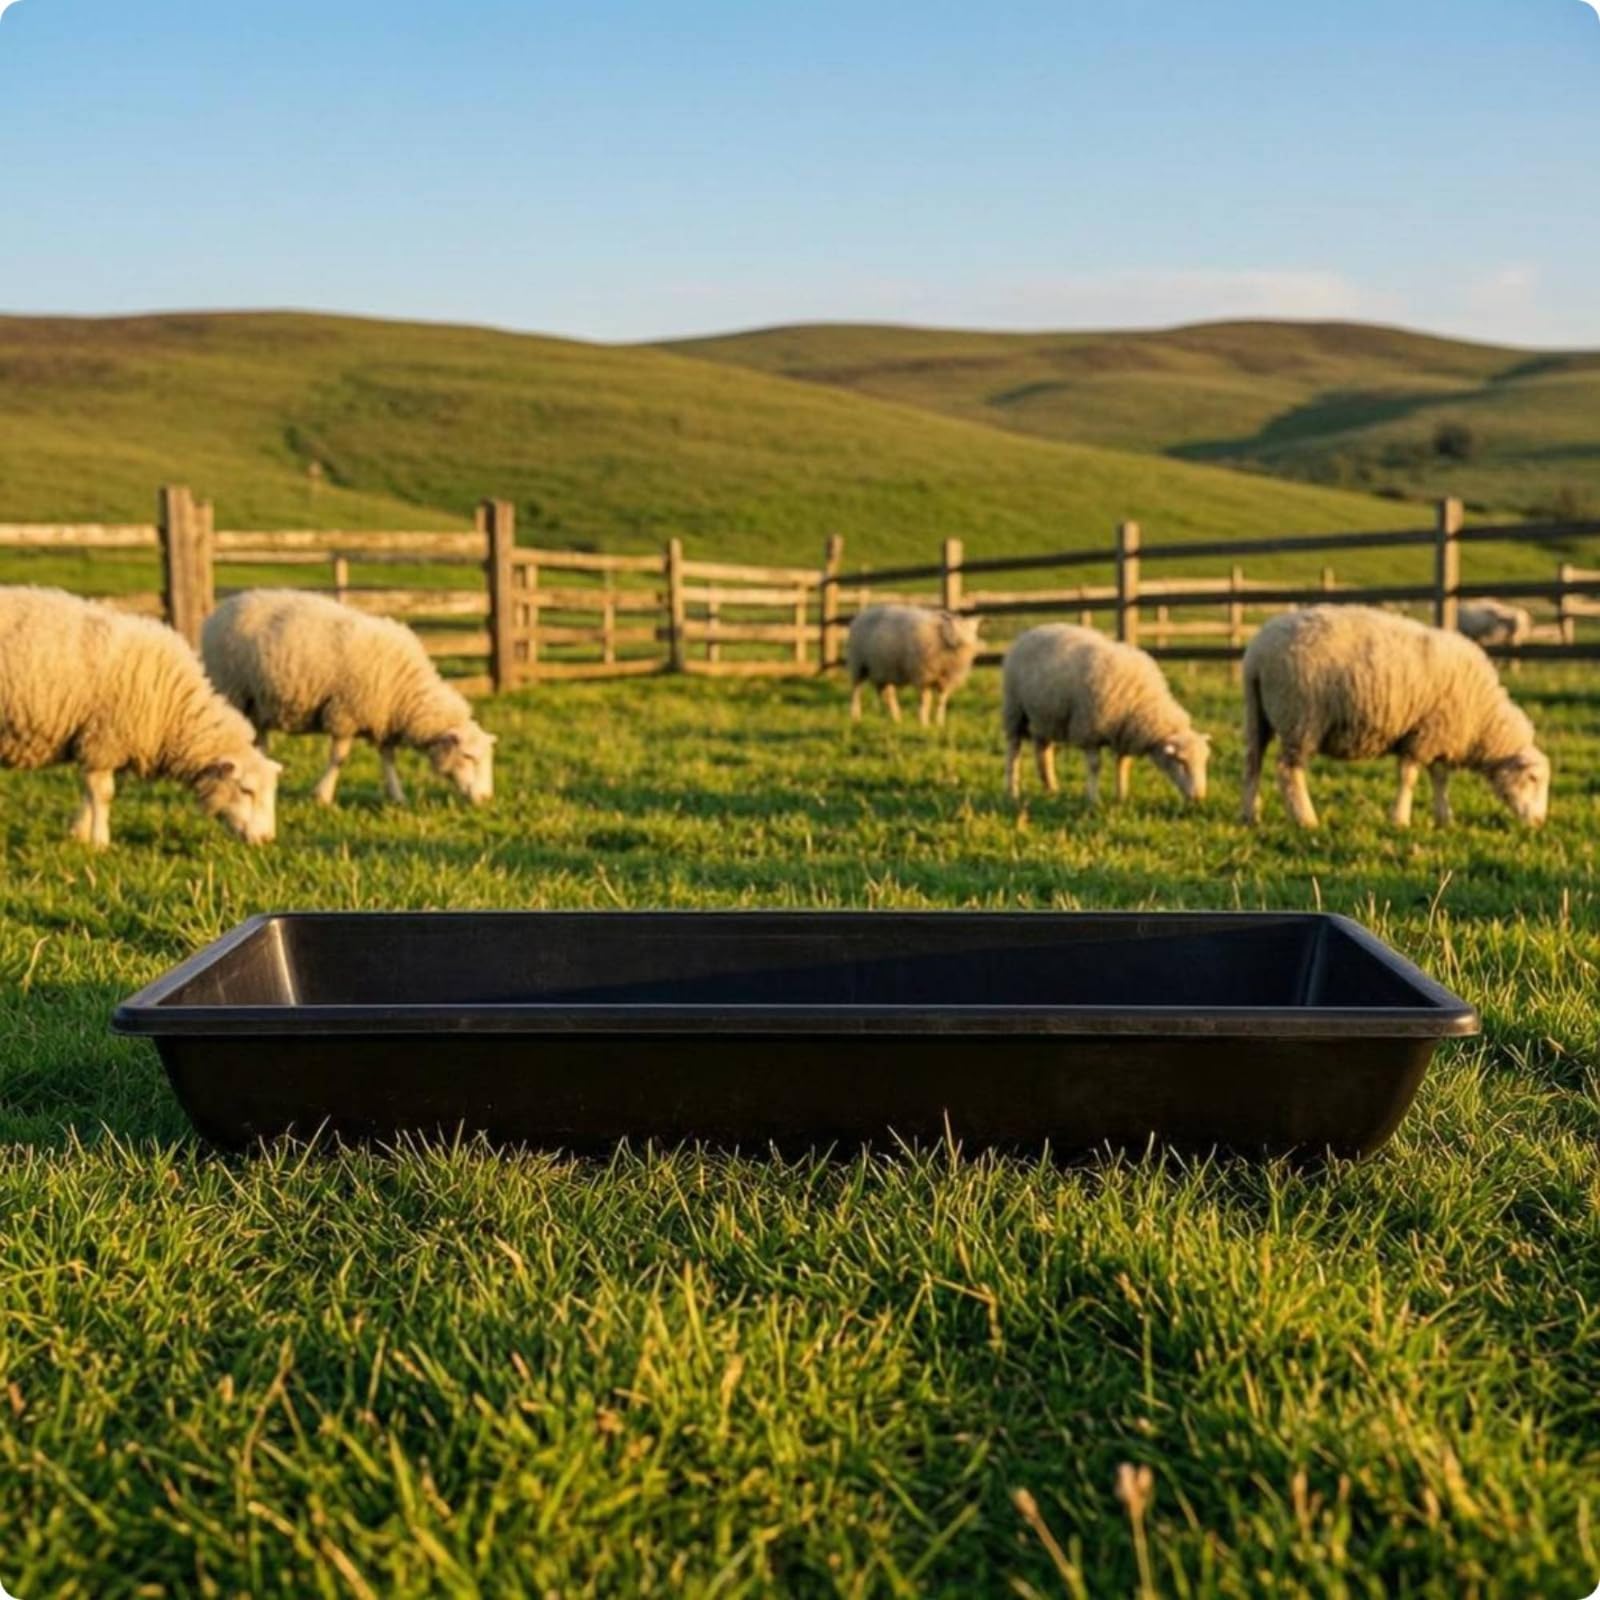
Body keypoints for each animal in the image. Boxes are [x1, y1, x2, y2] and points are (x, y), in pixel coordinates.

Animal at [0, 586, 280, 848]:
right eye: (246, 790)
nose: (266, 839)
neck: (171, 706)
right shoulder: (103, 739)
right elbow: (103, 794)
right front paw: (99, 842)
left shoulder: (101, 742)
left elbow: (93, 793)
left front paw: (79, 833)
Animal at [202, 589, 496, 808]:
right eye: (468, 756)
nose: (485, 799)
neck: (406, 690)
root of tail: (222, 607)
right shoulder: (346, 713)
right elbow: (339, 758)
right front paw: (322, 796)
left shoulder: (382, 718)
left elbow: (388, 758)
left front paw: (397, 796)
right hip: (233, 690)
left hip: (257, 703)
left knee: (259, 738)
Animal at [845, 604, 983, 726]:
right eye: (953, 628)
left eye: (971, 631)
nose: (962, 642)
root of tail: (861, 615)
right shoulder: (922, 677)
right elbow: (926, 701)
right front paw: (924, 723)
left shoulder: (945, 681)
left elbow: (941, 702)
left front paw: (939, 723)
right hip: (858, 664)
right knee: (856, 691)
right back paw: (855, 715)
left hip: (884, 669)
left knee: (888, 695)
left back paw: (894, 717)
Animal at [1001, 624, 1211, 805]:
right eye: (1181, 761)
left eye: (1204, 762)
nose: (1199, 797)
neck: (1141, 701)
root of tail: (1031, 632)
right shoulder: (1089, 732)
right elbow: (1095, 766)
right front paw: (1094, 800)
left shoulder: (1124, 733)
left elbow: (1123, 765)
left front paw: (1122, 797)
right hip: (1015, 709)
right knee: (1013, 749)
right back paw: (1013, 791)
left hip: (1046, 716)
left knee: (1043, 751)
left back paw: (1051, 789)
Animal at [1241, 605, 1549, 830]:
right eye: (1533, 779)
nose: (1538, 822)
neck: (1482, 719)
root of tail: (1258, 653)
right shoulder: (1422, 734)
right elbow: (1409, 778)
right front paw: (1400, 819)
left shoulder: (1439, 736)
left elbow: (1440, 779)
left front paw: (1444, 818)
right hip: (1301, 717)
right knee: (1288, 770)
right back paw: (1306, 819)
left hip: (1259, 714)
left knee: (1253, 762)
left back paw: (1250, 815)